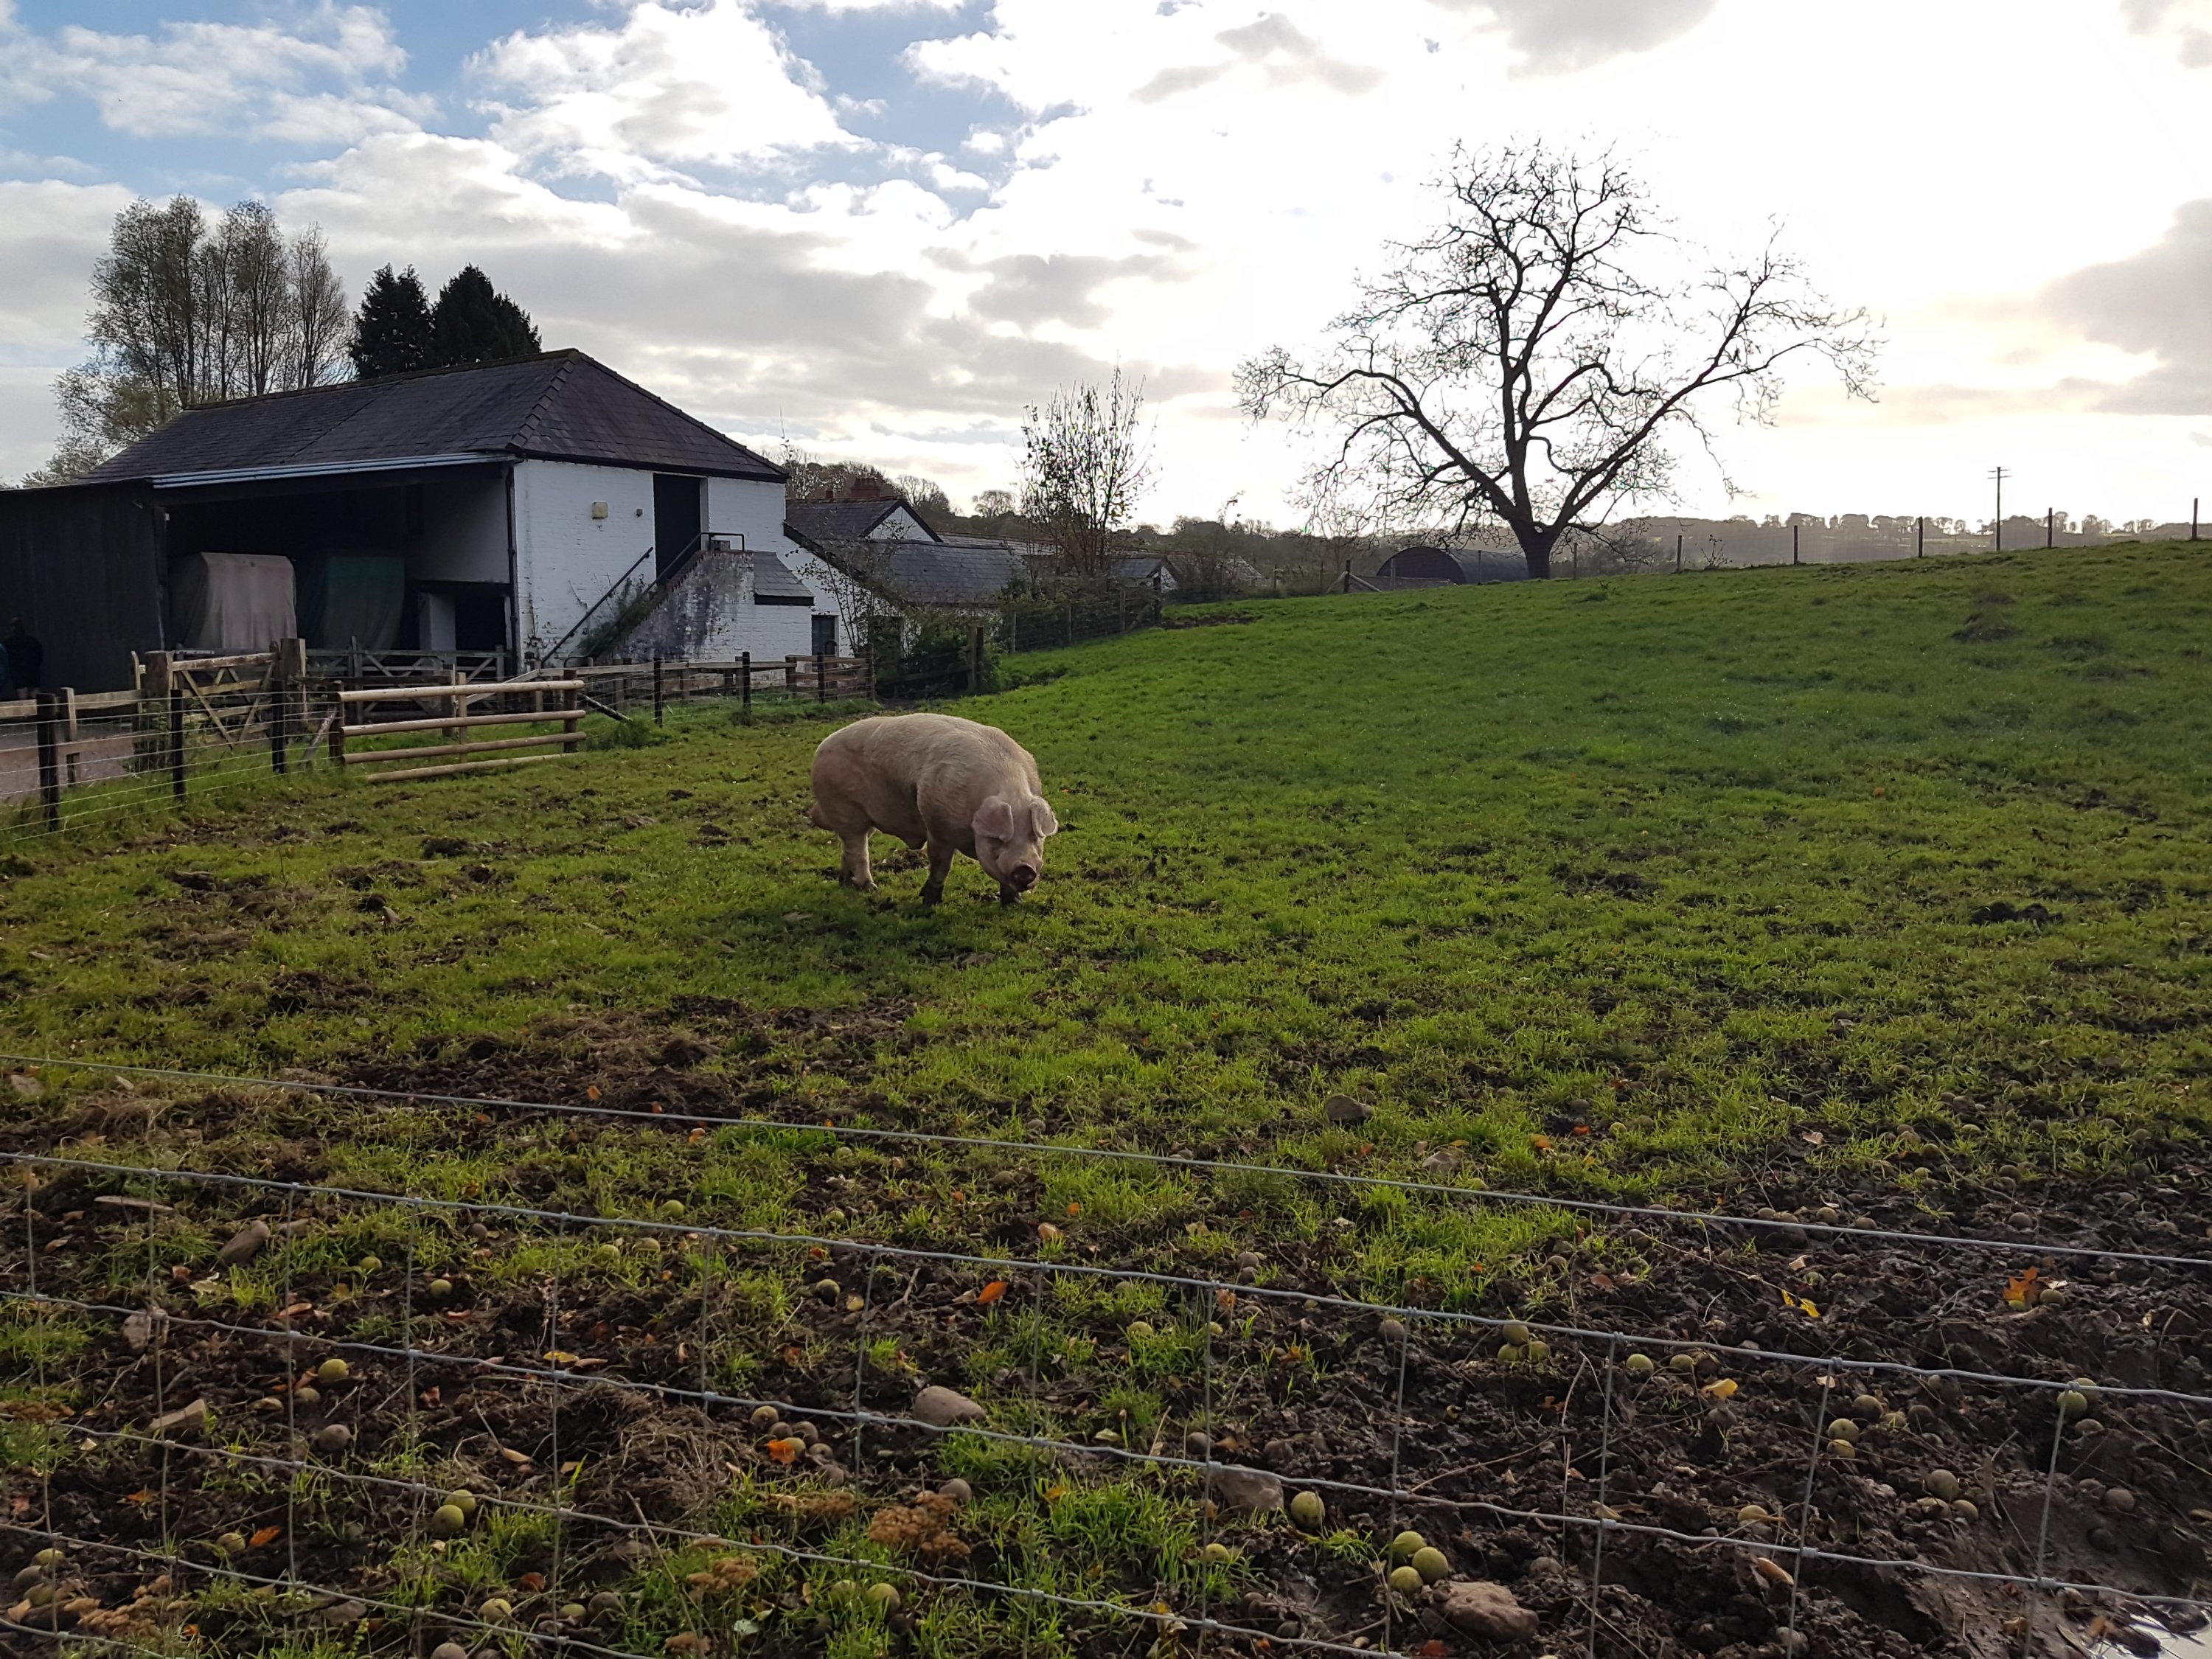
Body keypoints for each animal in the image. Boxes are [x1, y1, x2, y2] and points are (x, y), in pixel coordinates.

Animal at [809, 712, 1059, 906]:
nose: (1025, 869)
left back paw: (845, 883)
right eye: (997, 839)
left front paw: (1014, 903)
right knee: (858, 850)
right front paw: (929, 902)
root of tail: (821, 747)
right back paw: (870, 888)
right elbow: (941, 865)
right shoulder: (938, 827)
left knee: (848, 849)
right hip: (847, 810)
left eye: (1034, 837)